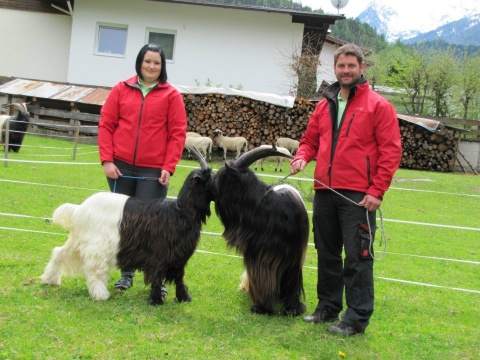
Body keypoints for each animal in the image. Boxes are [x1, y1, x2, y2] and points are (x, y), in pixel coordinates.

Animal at [41, 148, 216, 306]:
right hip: (97, 245)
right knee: (94, 270)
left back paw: (49, 279)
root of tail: (79, 209)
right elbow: (157, 276)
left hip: (80, 240)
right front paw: (156, 300)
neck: (180, 211)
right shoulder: (159, 254)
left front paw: (183, 298)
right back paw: (100, 294)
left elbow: (179, 278)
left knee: (59, 252)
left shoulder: (179, 256)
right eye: (211, 179)